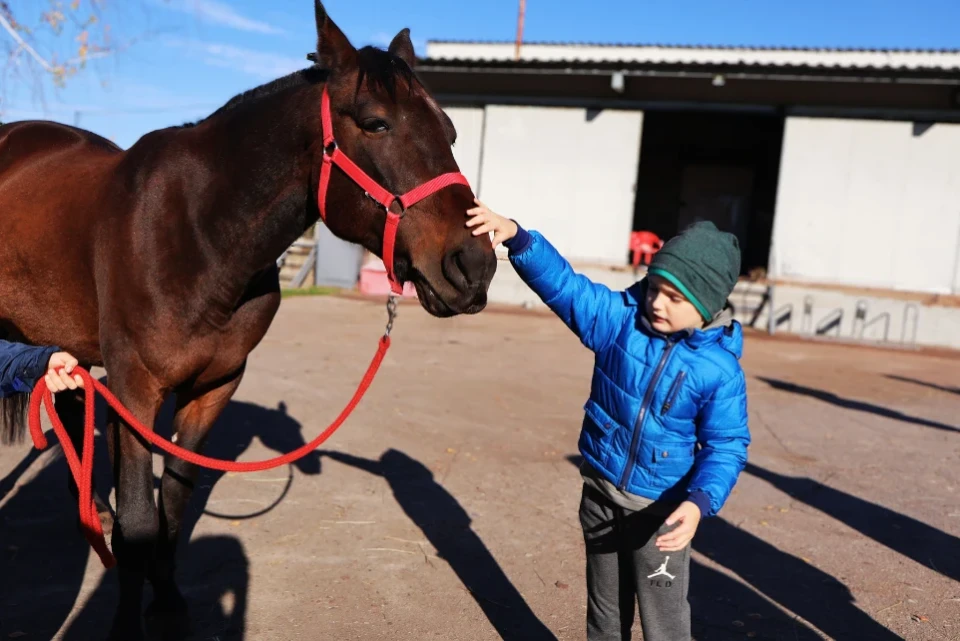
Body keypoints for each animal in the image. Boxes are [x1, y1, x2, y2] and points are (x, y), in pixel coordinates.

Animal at [0, 2, 496, 636]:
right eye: (376, 123)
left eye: (451, 132)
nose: (474, 265)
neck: (199, 232)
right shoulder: (135, 390)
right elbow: (140, 519)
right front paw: (127, 620)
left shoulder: (214, 386)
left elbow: (173, 502)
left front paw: (169, 600)